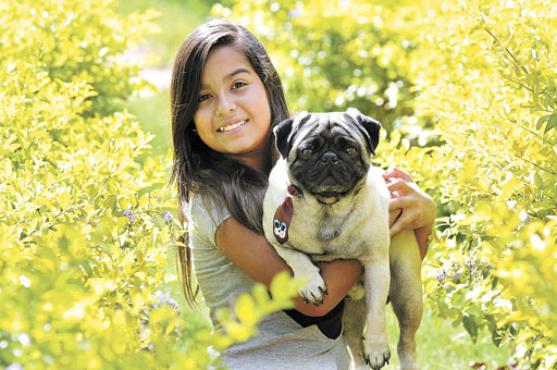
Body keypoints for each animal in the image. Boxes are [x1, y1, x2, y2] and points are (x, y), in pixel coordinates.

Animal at [260, 108, 422, 368]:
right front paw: (310, 283)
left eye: (350, 149)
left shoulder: (376, 264)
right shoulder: (275, 240)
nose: (329, 158)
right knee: (355, 345)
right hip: (350, 312)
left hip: (408, 293)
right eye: (307, 151)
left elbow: (377, 314)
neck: (327, 209)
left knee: (406, 341)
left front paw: (377, 348)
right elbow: (295, 256)